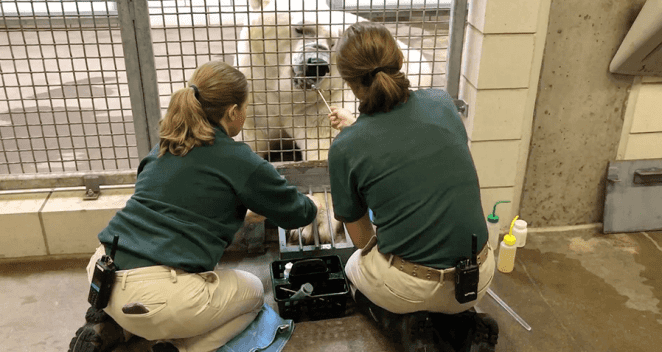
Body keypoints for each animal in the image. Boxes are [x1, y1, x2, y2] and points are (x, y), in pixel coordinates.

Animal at [236, 0, 434, 161]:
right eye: (300, 29)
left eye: (332, 43)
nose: (317, 65)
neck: (283, 99)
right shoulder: (256, 99)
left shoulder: (320, 105)